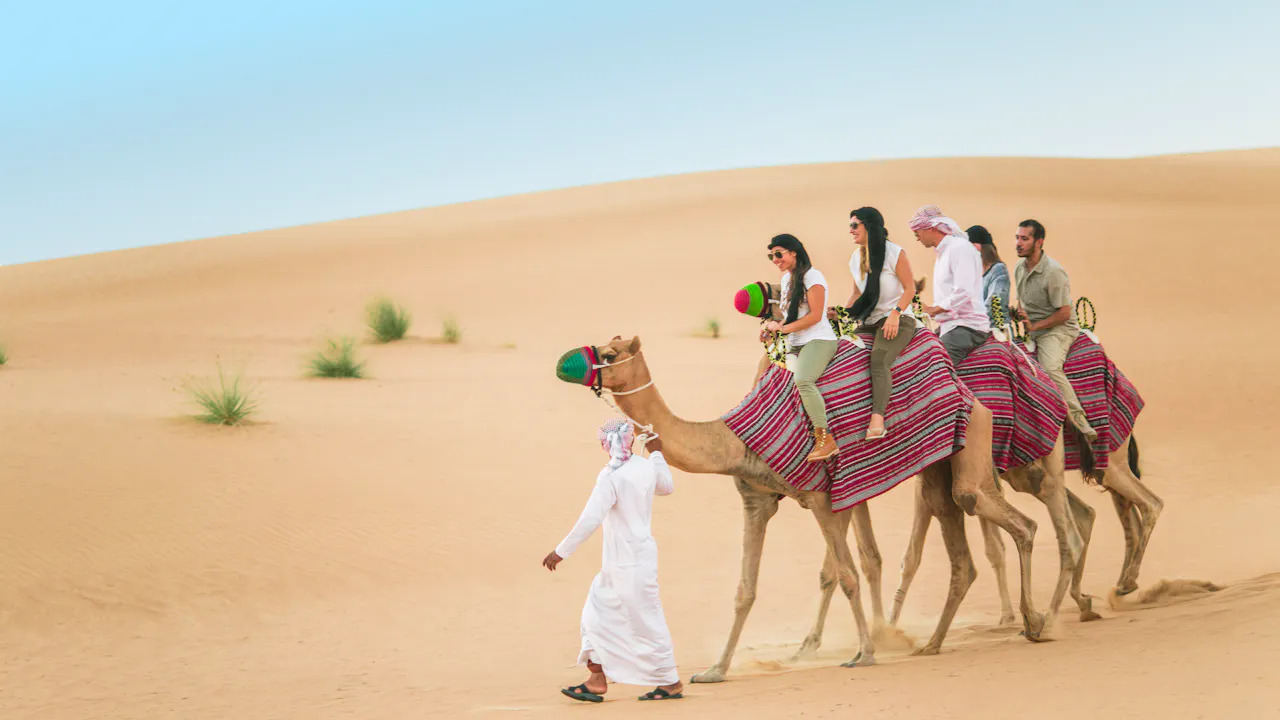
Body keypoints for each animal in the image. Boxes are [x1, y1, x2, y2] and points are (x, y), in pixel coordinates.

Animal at [558, 335, 1048, 683]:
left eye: (608, 352)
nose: (566, 363)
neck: (732, 439)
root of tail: (963, 384)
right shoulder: (756, 501)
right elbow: (745, 589)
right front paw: (714, 671)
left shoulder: (821, 498)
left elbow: (846, 575)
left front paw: (865, 654)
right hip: (936, 469)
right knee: (965, 548)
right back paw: (936, 643)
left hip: (972, 441)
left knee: (1011, 519)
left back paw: (1034, 621)